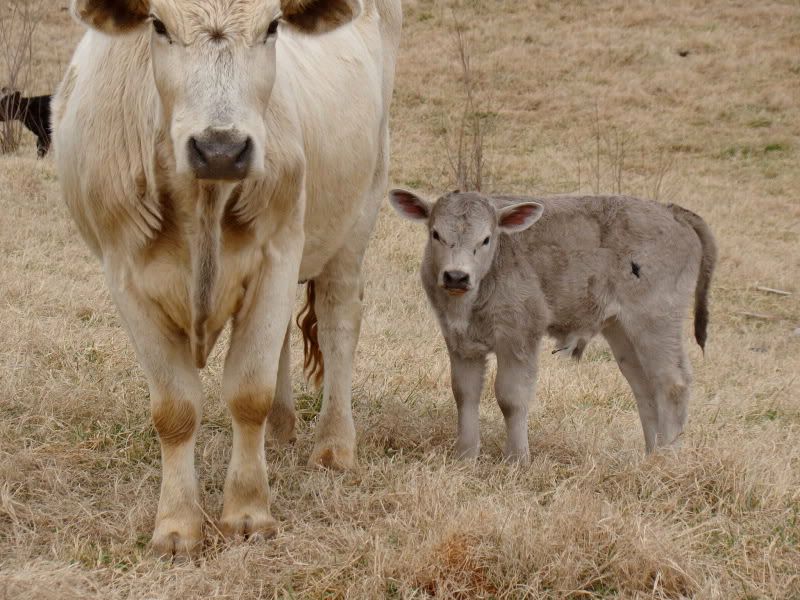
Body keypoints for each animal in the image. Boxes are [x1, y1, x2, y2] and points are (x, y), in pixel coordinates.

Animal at [52, 0, 402, 559]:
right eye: (158, 25)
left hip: (360, 210)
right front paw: (177, 526)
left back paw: (333, 445)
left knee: (338, 320)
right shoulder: (124, 274)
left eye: (273, 26)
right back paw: (281, 428)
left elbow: (247, 392)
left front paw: (248, 512)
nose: (220, 148)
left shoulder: (280, 252)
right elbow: (175, 409)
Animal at [390, 190, 716, 463]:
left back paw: (667, 460)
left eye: (485, 239)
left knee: (673, 383)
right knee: (645, 389)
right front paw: (465, 457)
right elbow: (464, 394)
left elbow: (511, 398)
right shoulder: (460, 343)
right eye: (435, 234)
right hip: (623, 332)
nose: (456, 276)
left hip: (655, 321)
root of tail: (671, 210)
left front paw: (516, 459)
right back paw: (650, 456)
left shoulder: (520, 335)